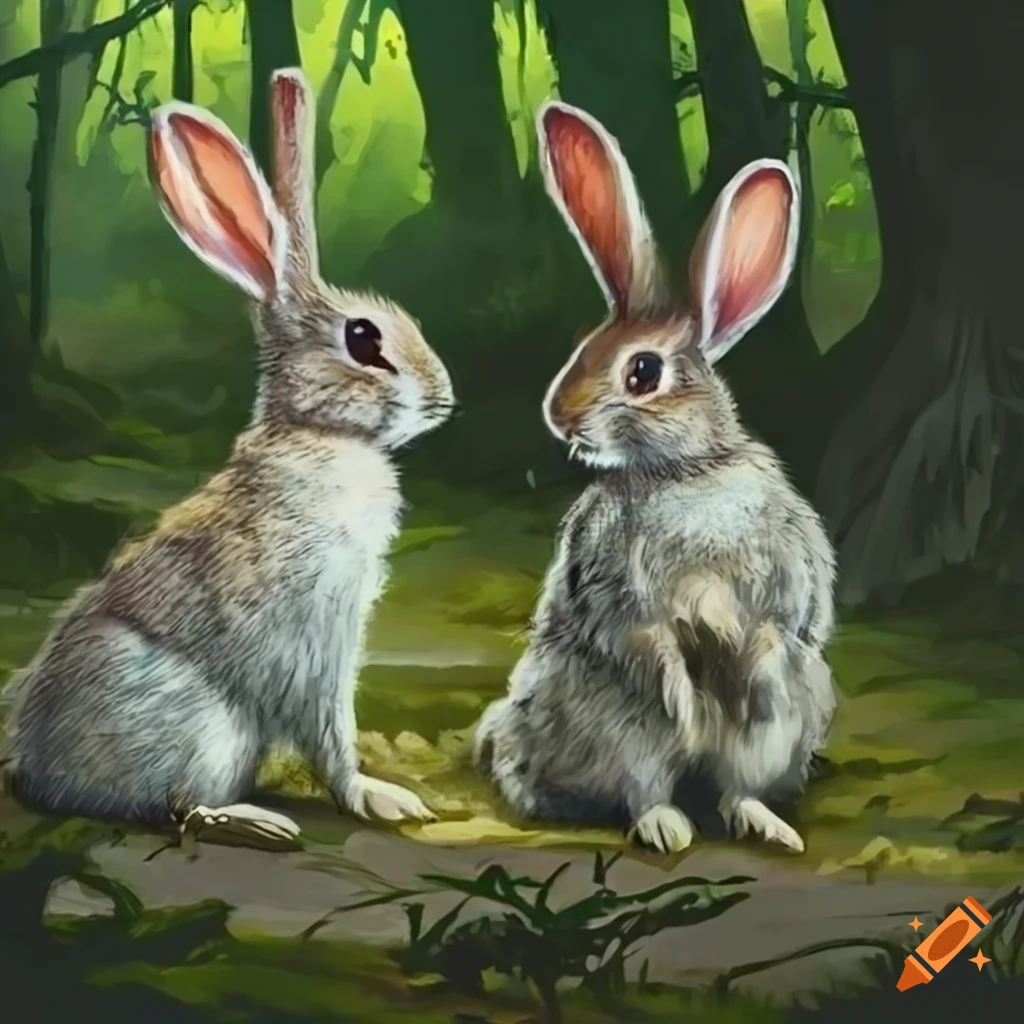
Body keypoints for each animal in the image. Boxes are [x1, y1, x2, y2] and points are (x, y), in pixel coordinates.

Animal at [0, 69, 455, 848]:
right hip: (197, 728)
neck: (318, 435)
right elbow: (330, 731)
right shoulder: (315, 640)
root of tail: (35, 768)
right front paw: (377, 797)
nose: (444, 396)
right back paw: (256, 821)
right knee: (178, 805)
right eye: (364, 338)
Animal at [474, 101, 837, 856]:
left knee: (736, 785)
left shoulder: (788, 572)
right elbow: (641, 637)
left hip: (783, 730)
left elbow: (779, 627)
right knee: (643, 786)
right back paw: (666, 826)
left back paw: (768, 826)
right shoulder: (616, 585)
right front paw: (679, 691)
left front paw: (751, 677)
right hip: (610, 724)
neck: (687, 472)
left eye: (642, 372)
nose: (559, 417)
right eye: (582, 349)